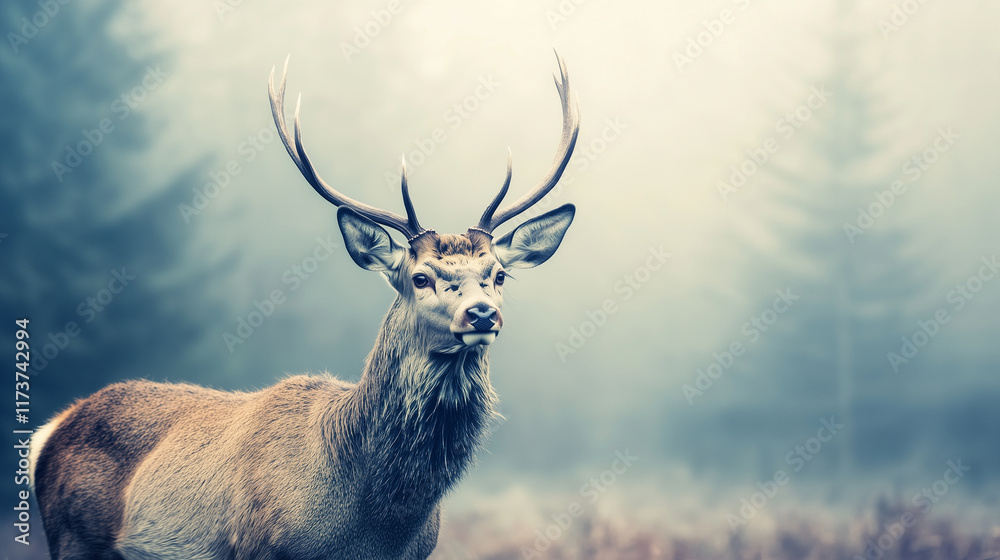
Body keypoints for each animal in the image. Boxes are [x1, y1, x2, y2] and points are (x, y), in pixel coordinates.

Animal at [30, 52, 580, 560]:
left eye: (499, 275)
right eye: (420, 277)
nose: (482, 313)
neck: (374, 526)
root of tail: (50, 430)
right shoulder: (259, 547)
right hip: (73, 539)